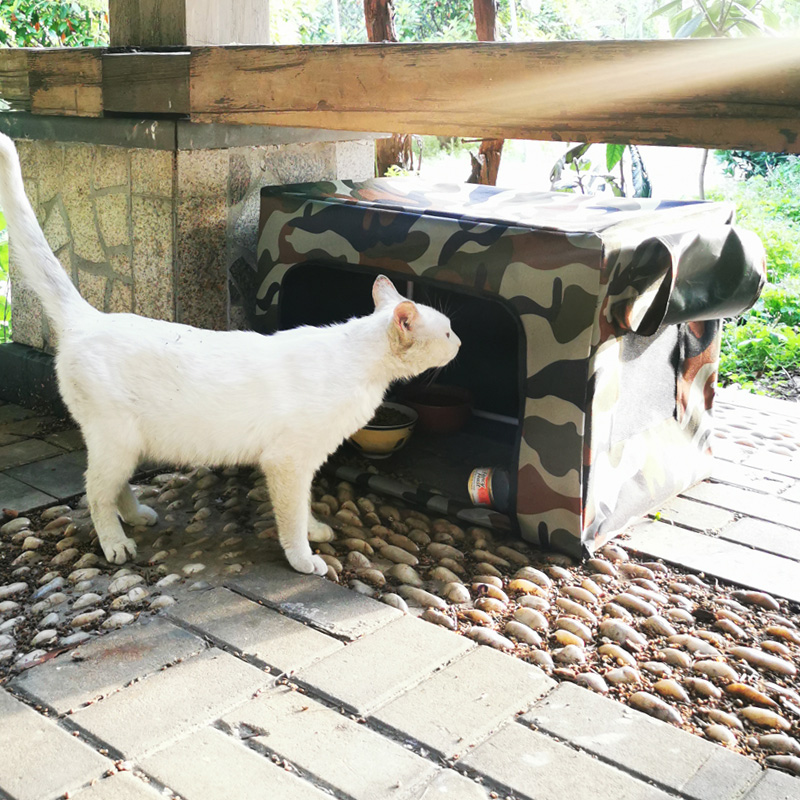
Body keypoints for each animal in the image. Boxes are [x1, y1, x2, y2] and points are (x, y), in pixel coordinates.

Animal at [0, 134, 460, 572]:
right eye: (449, 329)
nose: (460, 342)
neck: (360, 364)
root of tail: (90, 318)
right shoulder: (287, 461)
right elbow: (292, 516)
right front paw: (303, 557)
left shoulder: (306, 462)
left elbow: (306, 505)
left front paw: (315, 531)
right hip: (116, 439)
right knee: (95, 492)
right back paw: (116, 543)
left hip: (128, 444)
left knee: (115, 486)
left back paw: (136, 517)